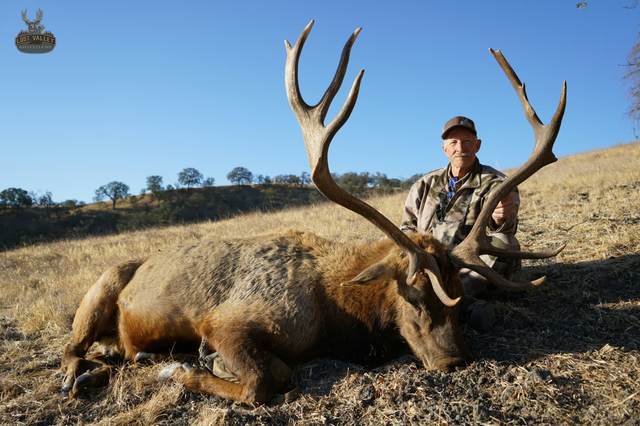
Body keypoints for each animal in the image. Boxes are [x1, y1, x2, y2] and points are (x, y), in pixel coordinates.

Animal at [60, 21, 566, 405]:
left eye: (459, 296)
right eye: (415, 297)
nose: (453, 360)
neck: (334, 314)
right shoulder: (225, 320)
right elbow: (263, 381)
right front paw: (180, 371)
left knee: (107, 352)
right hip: (99, 289)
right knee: (72, 346)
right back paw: (83, 375)